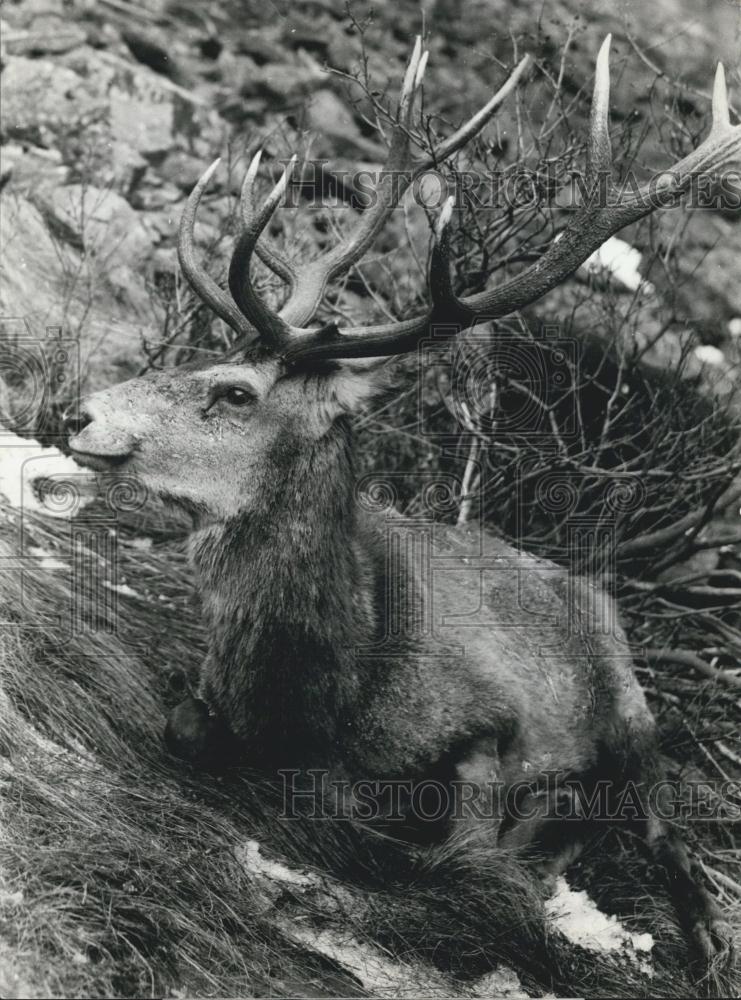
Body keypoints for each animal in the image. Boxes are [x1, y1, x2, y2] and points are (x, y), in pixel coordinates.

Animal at [66, 39, 736, 968]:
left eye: (234, 392)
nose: (77, 413)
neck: (322, 692)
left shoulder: (489, 726)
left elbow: (455, 846)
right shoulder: (215, 696)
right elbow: (190, 729)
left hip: (635, 714)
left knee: (663, 829)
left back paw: (696, 935)